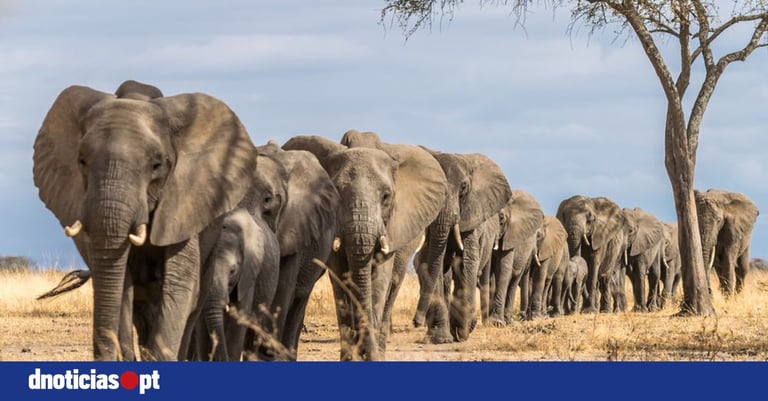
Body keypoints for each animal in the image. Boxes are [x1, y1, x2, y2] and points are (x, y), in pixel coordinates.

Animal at [33, 80, 258, 360]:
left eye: (156, 165)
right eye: (82, 161)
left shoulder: (184, 204)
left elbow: (180, 283)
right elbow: (121, 285)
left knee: (193, 305)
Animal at [282, 133, 447, 361]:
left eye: (386, 196)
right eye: (335, 192)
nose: (416, 323)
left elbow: (380, 279)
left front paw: (372, 356)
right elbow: (341, 279)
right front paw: (351, 357)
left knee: (393, 282)